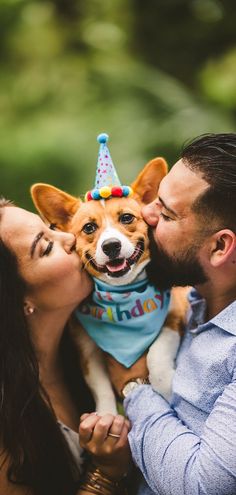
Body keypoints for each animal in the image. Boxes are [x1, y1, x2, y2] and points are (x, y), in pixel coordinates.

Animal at [30, 152, 188, 414]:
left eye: (126, 218)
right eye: (89, 227)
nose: (111, 246)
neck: (124, 294)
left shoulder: (174, 318)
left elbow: (156, 357)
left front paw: (167, 388)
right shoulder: (87, 351)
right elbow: (100, 387)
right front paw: (106, 416)